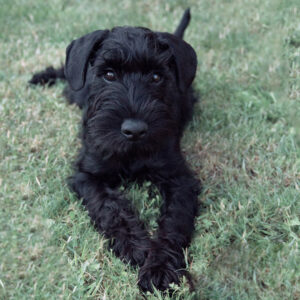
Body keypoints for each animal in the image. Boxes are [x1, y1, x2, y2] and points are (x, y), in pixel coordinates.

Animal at [30, 8, 200, 292]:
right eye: (109, 74)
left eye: (156, 77)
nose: (134, 130)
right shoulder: (87, 176)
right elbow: (110, 209)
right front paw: (135, 247)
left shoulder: (180, 179)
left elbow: (174, 221)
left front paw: (159, 268)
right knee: (66, 71)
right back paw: (41, 77)